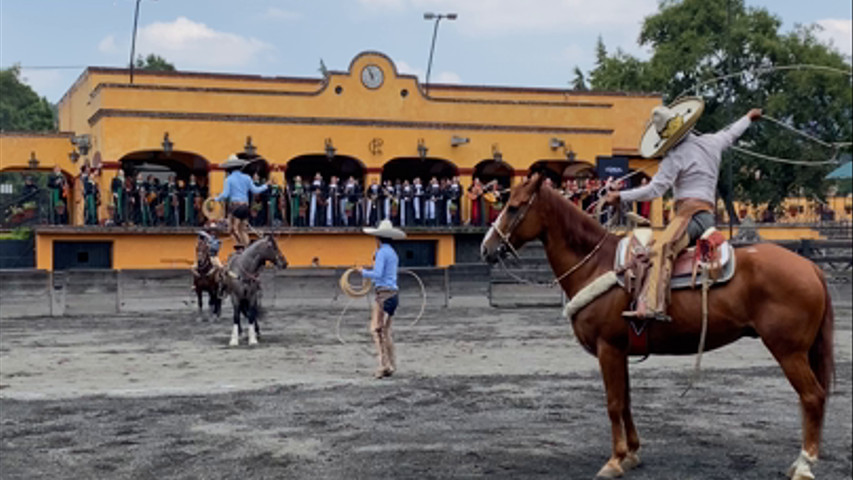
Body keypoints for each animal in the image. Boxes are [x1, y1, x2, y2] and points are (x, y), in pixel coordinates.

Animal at [482, 173, 836, 480]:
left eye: (513, 207)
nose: (486, 248)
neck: (596, 265)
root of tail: (811, 268)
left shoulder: (608, 348)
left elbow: (613, 403)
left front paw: (614, 461)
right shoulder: (620, 351)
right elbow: (625, 401)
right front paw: (632, 454)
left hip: (788, 351)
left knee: (812, 397)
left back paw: (804, 465)